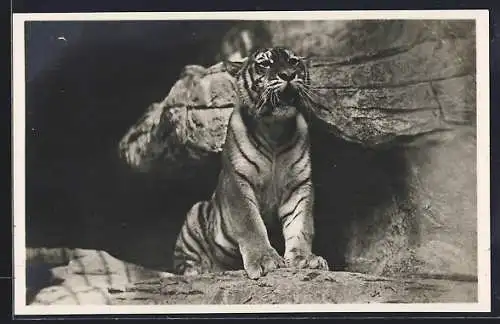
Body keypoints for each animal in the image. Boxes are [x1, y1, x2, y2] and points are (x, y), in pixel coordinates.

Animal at [172, 46, 328, 280]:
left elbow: (301, 224)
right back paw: (198, 271)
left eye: (293, 61)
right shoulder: (238, 182)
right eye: (265, 64)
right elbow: (250, 224)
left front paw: (305, 258)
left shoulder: (299, 185)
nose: (288, 75)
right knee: (182, 264)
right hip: (194, 215)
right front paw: (265, 260)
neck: (275, 130)